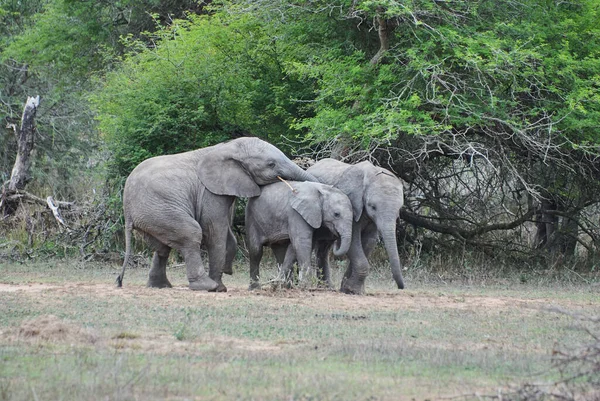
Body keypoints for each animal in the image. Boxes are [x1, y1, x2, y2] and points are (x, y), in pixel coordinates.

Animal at [118, 137, 322, 290]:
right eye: (271, 164)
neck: (227, 148)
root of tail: (127, 209)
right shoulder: (210, 192)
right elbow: (215, 230)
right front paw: (221, 287)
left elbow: (227, 232)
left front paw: (227, 270)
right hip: (158, 207)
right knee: (191, 233)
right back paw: (207, 286)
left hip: (154, 213)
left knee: (162, 247)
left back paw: (160, 286)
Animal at [308, 158, 406, 292]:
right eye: (373, 207)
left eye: (399, 210)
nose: (401, 287)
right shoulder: (352, 204)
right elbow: (353, 242)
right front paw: (351, 290)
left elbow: (369, 242)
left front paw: (349, 289)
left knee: (324, 248)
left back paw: (327, 287)